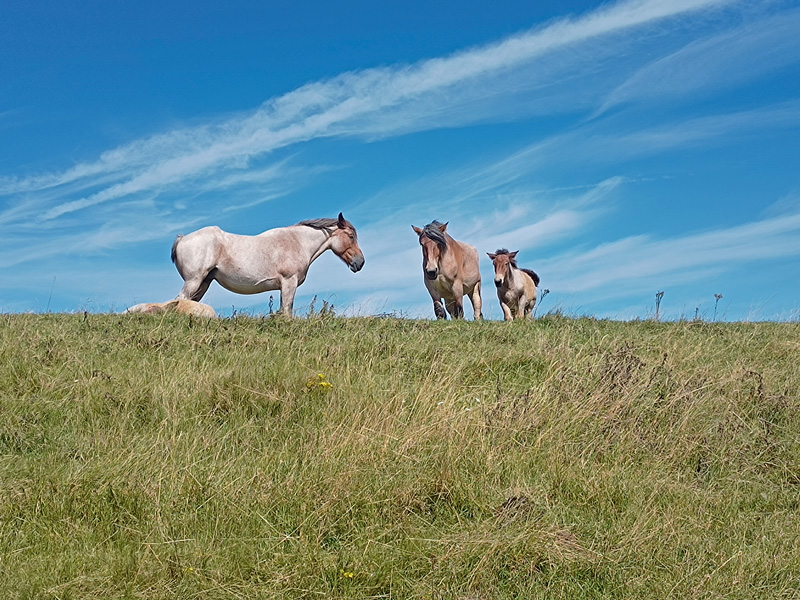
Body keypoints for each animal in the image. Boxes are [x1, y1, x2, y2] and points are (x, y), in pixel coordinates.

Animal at [171, 213, 364, 316]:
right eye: (351, 236)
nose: (360, 263)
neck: (297, 242)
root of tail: (182, 239)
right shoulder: (289, 283)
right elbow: (286, 311)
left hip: (203, 283)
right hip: (194, 281)